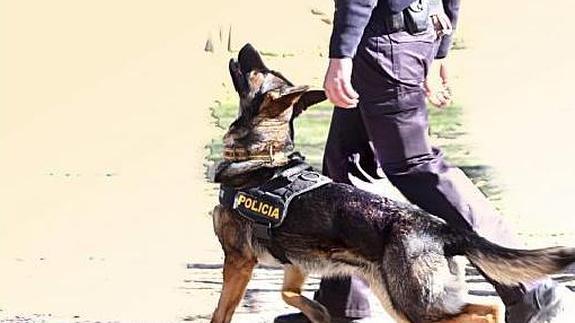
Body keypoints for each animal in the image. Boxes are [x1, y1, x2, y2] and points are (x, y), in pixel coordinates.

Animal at [212, 43, 575, 323]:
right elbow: (289, 293)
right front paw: (318, 313)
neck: (264, 154)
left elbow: (221, 313)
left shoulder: (238, 261)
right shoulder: (296, 263)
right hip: (412, 300)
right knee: (487, 308)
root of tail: (443, 229)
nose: (246, 46)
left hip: (412, 305)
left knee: (483, 312)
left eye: (258, 69)